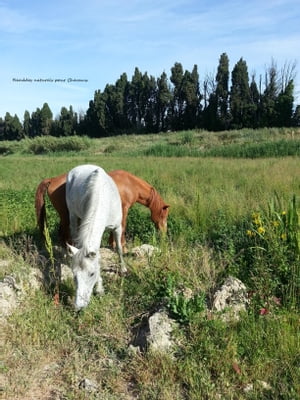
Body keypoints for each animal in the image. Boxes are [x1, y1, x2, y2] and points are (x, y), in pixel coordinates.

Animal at [35, 169, 169, 250]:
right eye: (163, 215)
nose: (164, 233)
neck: (130, 184)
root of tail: (53, 179)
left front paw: (112, 243)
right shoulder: (124, 208)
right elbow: (123, 226)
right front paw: (122, 246)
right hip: (65, 214)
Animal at [65, 164, 126, 310]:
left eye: (91, 274)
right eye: (74, 274)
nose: (79, 306)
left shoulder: (117, 227)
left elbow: (119, 248)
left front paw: (123, 269)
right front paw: (100, 289)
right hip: (73, 214)